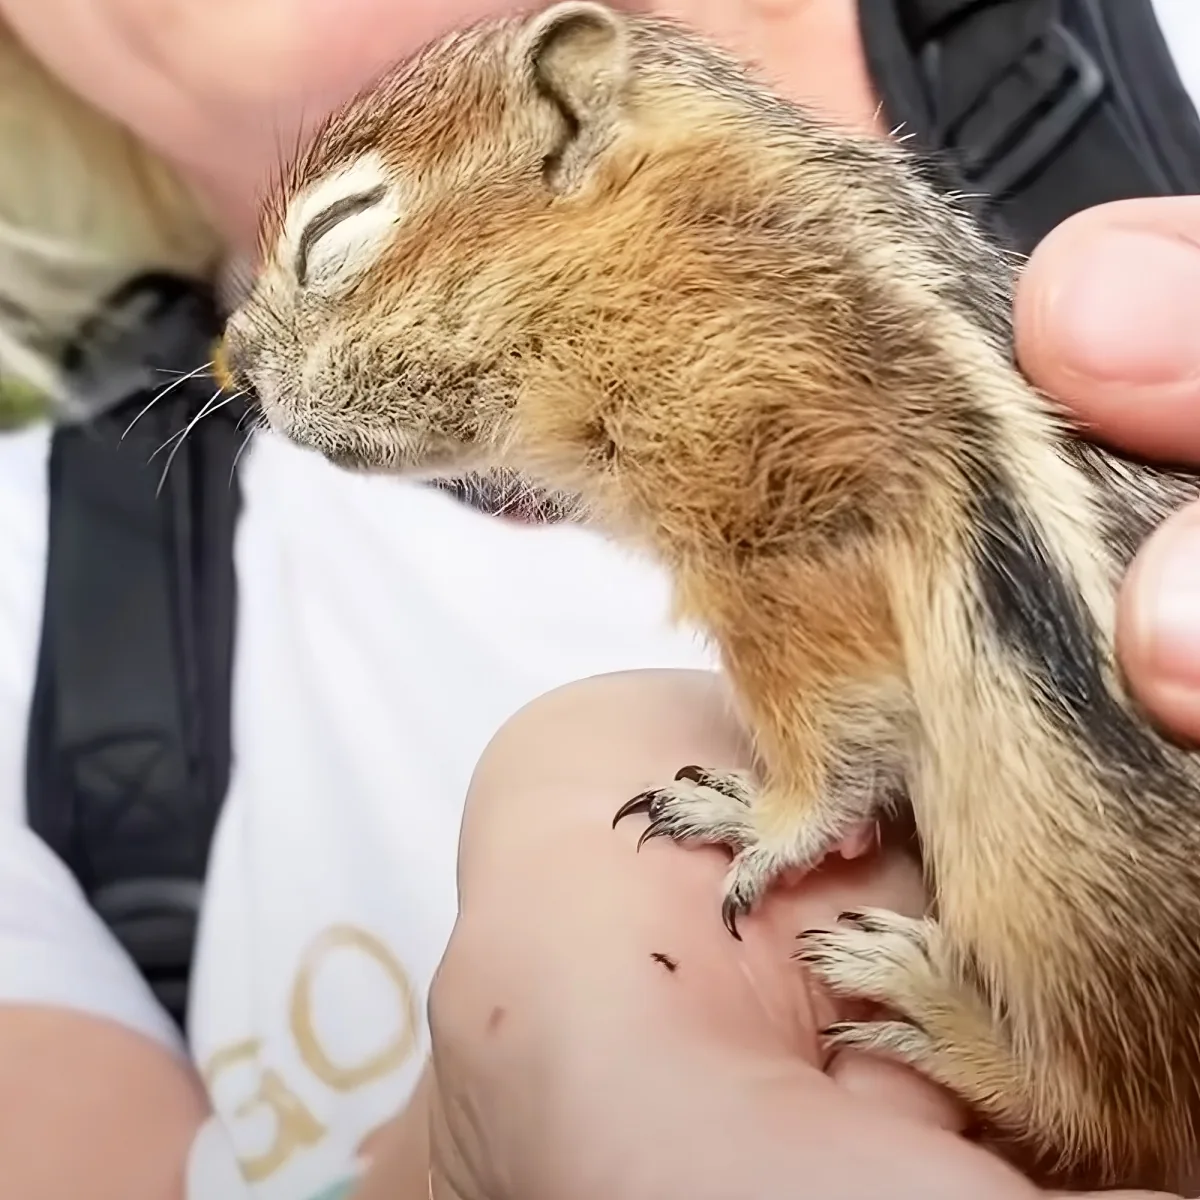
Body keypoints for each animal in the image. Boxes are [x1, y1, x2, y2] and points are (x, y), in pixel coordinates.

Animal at [221, 1, 1200, 1189]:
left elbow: (829, 723)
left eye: (333, 235)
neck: (678, 240)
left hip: (1057, 906)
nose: (228, 368)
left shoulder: (782, 501)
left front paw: (759, 820)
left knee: (1100, 1109)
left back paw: (934, 1007)